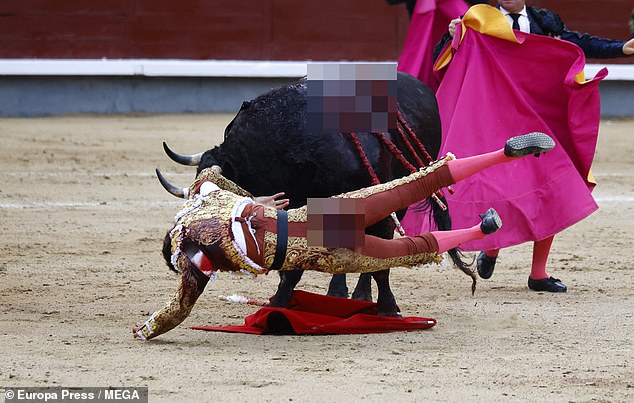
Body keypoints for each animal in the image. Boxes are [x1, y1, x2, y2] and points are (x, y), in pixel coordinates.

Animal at [163, 72, 470, 318]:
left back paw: (361, 294)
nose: (170, 250)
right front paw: (279, 301)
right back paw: (338, 292)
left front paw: (388, 308)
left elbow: (381, 261)